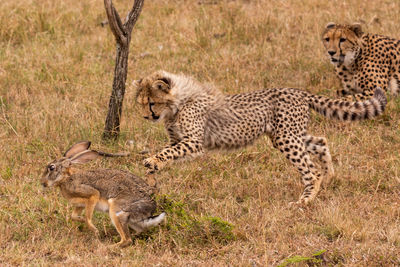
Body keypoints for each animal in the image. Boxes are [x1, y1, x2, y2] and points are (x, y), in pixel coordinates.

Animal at [134, 70, 388, 205]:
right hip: (289, 135)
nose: (146, 116)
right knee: (321, 141)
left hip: (286, 138)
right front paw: (153, 171)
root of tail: (298, 91)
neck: (177, 104)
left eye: (151, 103)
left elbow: (167, 152)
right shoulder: (178, 140)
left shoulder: (194, 142)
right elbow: (168, 151)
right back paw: (330, 175)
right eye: (141, 103)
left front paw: (152, 162)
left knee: (310, 169)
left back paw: (306, 198)